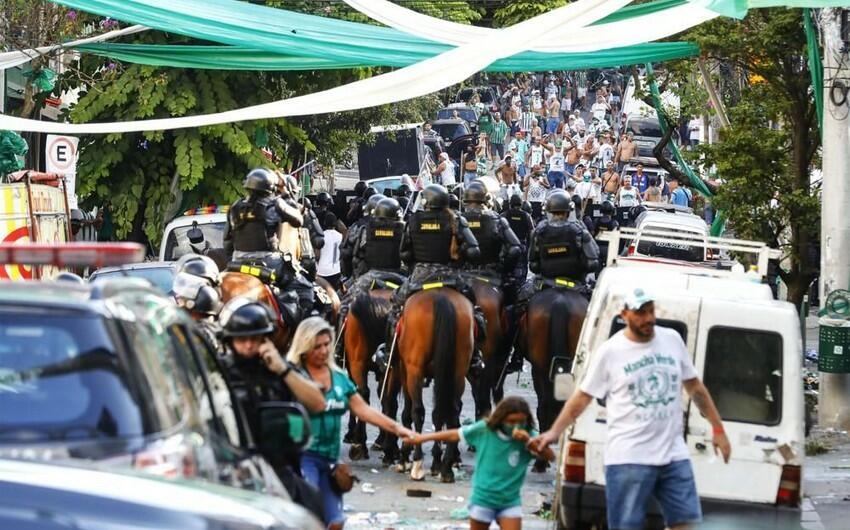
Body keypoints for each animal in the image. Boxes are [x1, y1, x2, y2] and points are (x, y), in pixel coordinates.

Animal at [396, 286, 474, 480]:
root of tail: (441, 298)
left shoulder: (404, 369)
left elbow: (407, 413)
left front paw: (404, 457)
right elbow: (438, 413)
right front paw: (437, 462)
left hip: (414, 369)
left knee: (418, 411)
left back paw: (417, 463)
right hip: (458, 371)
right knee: (451, 412)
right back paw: (445, 467)